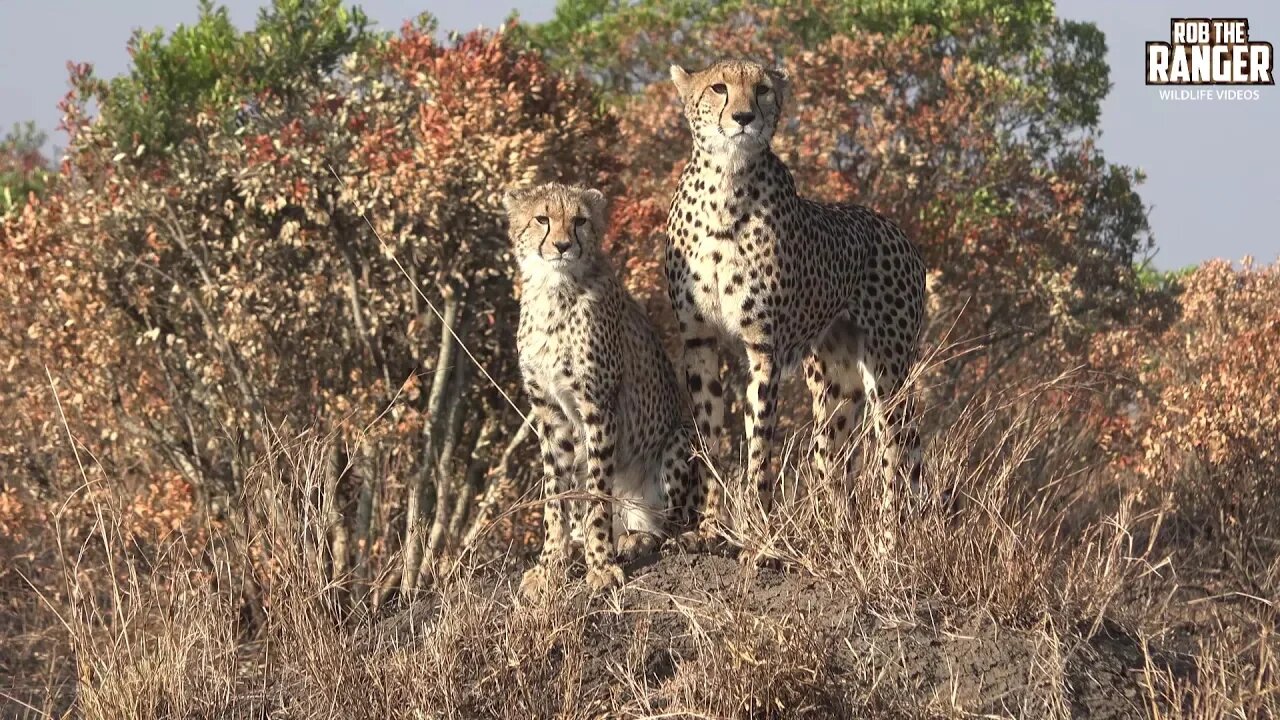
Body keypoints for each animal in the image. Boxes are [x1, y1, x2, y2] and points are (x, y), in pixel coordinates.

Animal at [504, 180, 696, 594]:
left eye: (580, 221)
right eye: (542, 218)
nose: (562, 245)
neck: (553, 290)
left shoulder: (598, 405)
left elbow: (596, 492)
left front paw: (601, 565)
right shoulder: (550, 413)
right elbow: (557, 495)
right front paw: (550, 564)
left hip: (680, 438)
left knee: (672, 523)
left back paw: (638, 539)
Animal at [665, 58, 926, 527]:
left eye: (763, 89)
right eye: (719, 88)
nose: (744, 117)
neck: (724, 183)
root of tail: (898, 232)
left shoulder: (763, 348)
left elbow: (758, 443)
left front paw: (758, 524)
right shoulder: (699, 339)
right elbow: (708, 435)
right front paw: (711, 520)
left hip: (888, 372)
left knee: (896, 461)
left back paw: (889, 539)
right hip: (834, 383)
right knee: (833, 463)